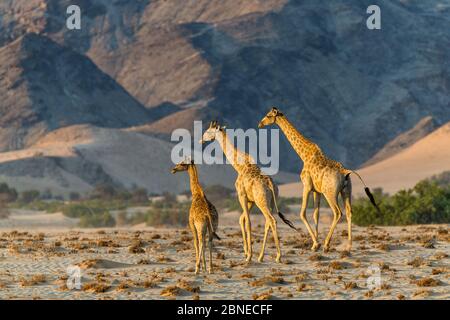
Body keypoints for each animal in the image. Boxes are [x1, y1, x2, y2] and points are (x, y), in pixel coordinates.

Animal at [202, 120, 298, 262]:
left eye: (208, 131)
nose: (201, 139)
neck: (239, 166)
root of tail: (271, 184)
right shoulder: (251, 200)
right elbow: (241, 219)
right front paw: (247, 252)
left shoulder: (242, 195)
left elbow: (247, 222)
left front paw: (249, 256)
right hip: (270, 201)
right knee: (267, 222)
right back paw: (261, 256)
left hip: (261, 201)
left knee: (272, 220)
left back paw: (278, 256)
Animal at [256, 107, 380, 252]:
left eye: (268, 115)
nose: (260, 124)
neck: (304, 155)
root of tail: (345, 172)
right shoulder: (317, 191)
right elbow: (316, 214)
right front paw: (316, 243)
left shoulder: (307, 185)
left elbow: (302, 213)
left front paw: (316, 244)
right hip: (346, 191)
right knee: (349, 212)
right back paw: (348, 246)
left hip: (330, 193)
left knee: (338, 212)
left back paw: (327, 244)